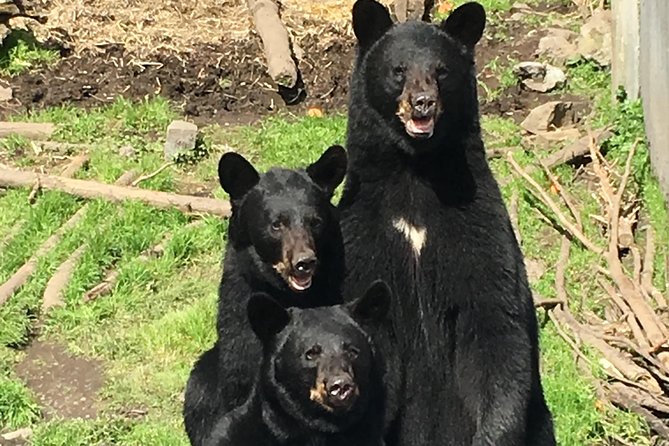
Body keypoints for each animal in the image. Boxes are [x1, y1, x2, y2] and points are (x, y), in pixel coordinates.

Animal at [336, 1, 556, 444]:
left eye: (441, 71)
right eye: (398, 70)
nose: (423, 103)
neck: (417, 177)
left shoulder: (477, 225)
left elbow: (493, 326)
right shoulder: (363, 235)